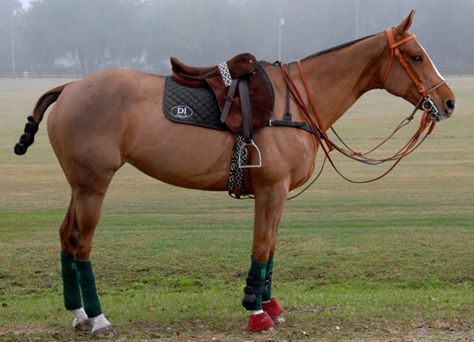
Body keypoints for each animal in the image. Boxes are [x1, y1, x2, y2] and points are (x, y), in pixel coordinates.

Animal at [12, 11, 454, 336]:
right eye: (416, 56)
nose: (449, 102)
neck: (295, 102)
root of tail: (69, 87)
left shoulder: (277, 193)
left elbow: (271, 246)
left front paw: (271, 306)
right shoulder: (272, 188)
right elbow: (261, 246)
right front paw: (255, 313)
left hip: (79, 184)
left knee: (66, 237)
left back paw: (78, 314)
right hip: (94, 184)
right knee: (81, 243)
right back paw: (98, 318)